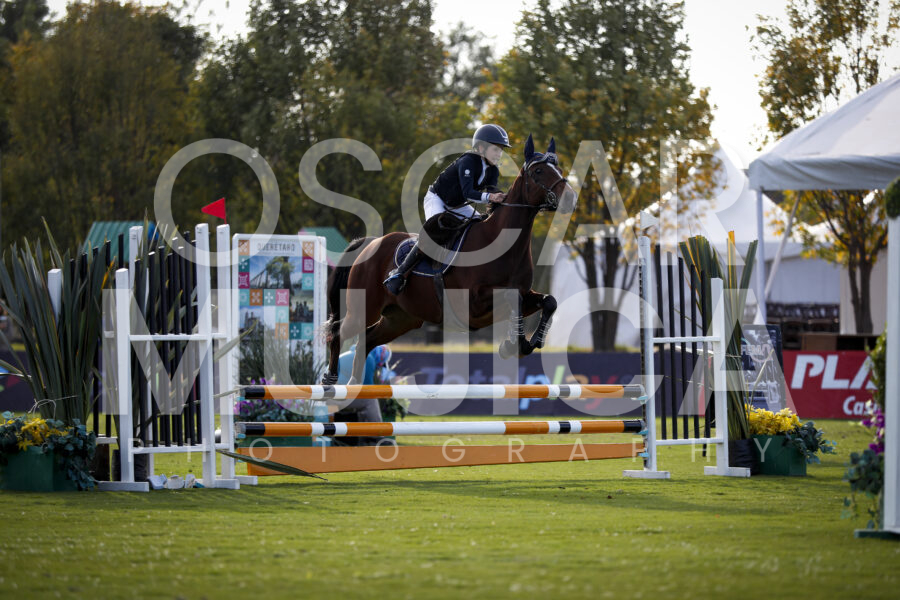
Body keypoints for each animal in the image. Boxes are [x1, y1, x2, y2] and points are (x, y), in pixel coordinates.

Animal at [322, 135, 577, 384]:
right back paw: (330, 378)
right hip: (363, 308)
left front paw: (525, 344)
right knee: (339, 333)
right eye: (538, 171)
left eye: (559, 168)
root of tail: (371, 243)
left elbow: (549, 301)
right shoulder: (473, 303)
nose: (570, 199)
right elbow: (512, 297)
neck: (501, 243)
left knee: (366, 340)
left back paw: (354, 384)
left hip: (401, 318)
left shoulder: (520, 295)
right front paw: (513, 344)